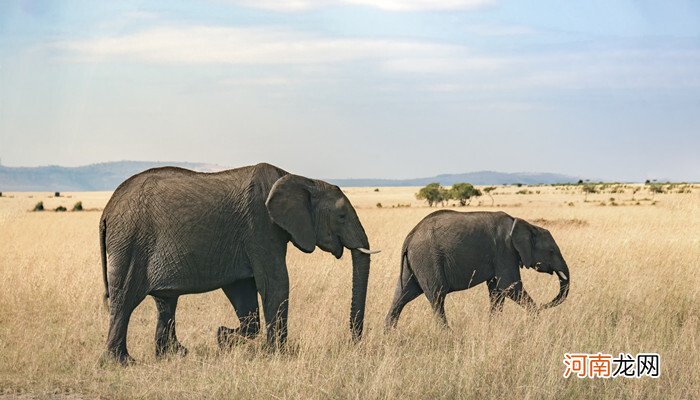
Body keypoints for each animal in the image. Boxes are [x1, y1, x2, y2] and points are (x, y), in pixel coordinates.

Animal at [100, 163, 378, 366]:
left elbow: (243, 290)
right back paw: (123, 362)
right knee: (124, 300)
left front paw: (224, 337)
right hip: (130, 242)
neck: (301, 179)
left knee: (165, 301)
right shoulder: (260, 226)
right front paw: (278, 355)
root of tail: (107, 210)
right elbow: (275, 283)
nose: (353, 343)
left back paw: (174, 354)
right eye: (341, 216)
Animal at [386, 209, 572, 328]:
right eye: (551, 251)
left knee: (402, 295)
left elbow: (497, 291)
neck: (523, 224)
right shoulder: (505, 250)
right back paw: (447, 334)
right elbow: (509, 286)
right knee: (437, 297)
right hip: (428, 259)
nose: (544, 305)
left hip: (415, 263)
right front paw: (536, 320)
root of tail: (409, 237)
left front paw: (493, 326)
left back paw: (389, 334)